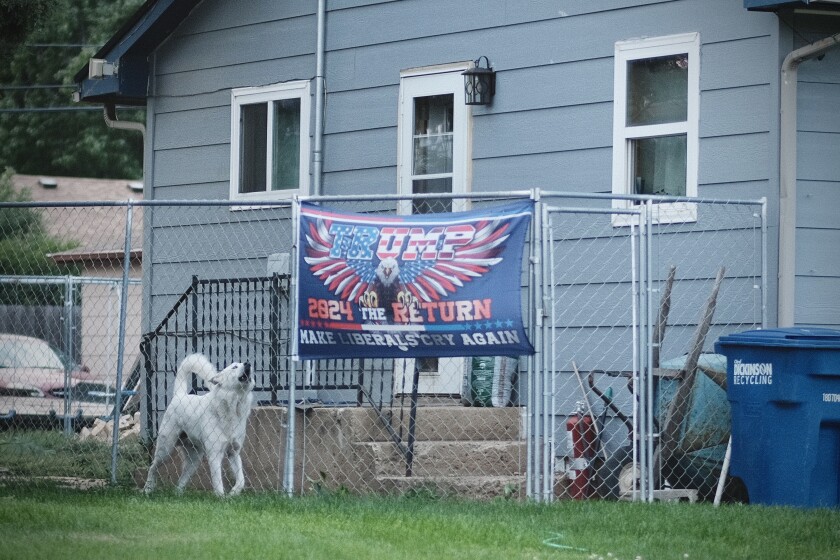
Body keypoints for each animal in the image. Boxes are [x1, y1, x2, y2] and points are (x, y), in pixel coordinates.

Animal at [144, 354, 253, 498]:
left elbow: (241, 480)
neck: (234, 406)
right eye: (234, 367)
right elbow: (218, 481)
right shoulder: (214, 455)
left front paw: (233, 493)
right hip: (165, 449)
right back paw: (147, 489)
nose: (248, 363)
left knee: (181, 480)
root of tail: (180, 395)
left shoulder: (234, 453)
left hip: (194, 460)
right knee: (153, 467)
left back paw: (177, 495)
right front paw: (221, 498)